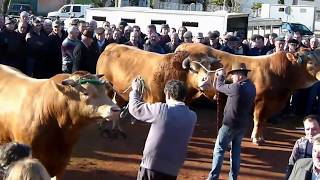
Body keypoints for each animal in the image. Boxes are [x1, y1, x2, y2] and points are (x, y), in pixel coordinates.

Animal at [176, 43, 320, 146]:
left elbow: (263, 121)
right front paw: (256, 138)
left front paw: (260, 137)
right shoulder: (262, 101)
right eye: (310, 62)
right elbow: (258, 119)